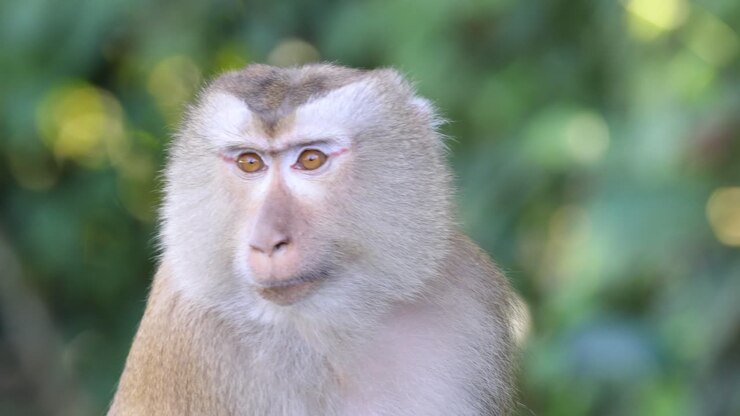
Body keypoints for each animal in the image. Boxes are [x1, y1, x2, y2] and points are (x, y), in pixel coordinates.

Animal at [108, 63, 518, 416]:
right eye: (249, 163)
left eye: (310, 159)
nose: (267, 240)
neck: (331, 331)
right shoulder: (185, 338)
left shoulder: (468, 295)